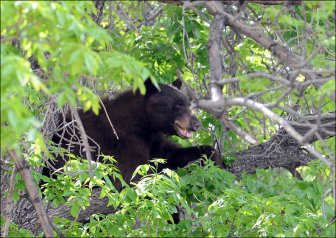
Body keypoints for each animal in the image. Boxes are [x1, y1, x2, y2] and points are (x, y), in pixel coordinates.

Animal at [46, 78, 222, 190]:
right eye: (178, 104)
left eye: (186, 103)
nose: (196, 124)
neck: (143, 124)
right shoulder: (123, 143)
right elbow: (132, 176)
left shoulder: (154, 142)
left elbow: (171, 155)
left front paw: (215, 158)